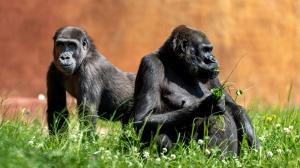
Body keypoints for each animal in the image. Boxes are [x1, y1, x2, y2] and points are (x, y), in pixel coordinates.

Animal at [134, 24, 260, 154]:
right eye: (205, 50)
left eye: (210, 50)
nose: (213, 59)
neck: (176, 64)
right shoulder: (150, 64)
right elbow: (143, 119)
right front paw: (206, 106)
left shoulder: (214, 74)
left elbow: (232, 106)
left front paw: (251, 136)